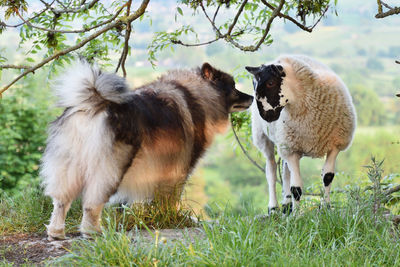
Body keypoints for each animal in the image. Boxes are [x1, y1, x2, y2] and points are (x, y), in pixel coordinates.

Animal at [41, 61, 253, 240]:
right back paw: (92, 231)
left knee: (61, 201)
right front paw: (175, 218)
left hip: (69, 164)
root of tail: (93, 104)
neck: (199, 94)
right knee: (92, 203)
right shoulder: (180, 168)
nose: (252, 96)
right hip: (111, 168)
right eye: (234, 87)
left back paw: (56, 232)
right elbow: (172, 197)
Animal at [247, 55, 356, 214]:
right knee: (271, 172)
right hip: (264, 137)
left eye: (270, 83)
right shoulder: (291, 150)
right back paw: (273, 207)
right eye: (254, 85)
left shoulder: (335, 145)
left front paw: (325, 207)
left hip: (285, 142)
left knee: (285, 170)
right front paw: (296, 216)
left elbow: (327, 177)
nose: (266, 116)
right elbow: (296, 188)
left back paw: (287, 205)